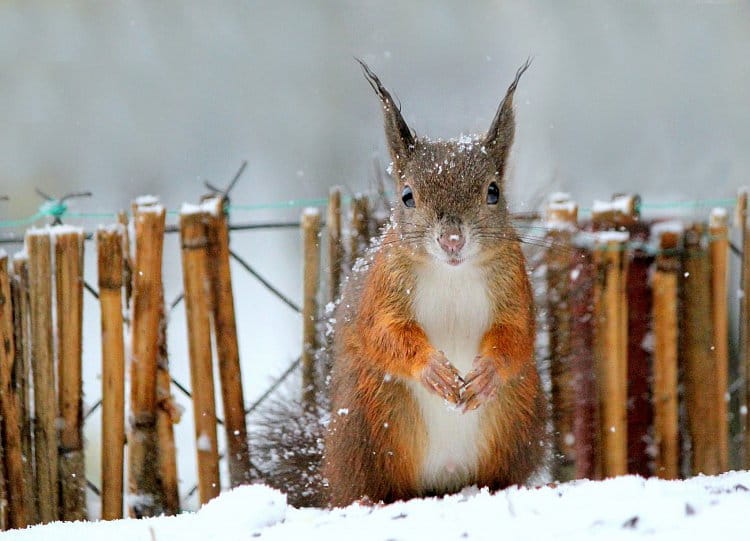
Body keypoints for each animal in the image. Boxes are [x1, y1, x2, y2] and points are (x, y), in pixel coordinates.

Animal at [324, 62, 548, 506]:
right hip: (368, 417)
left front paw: (485, 373)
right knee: (369, 485)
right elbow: (383, 332)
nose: (452, 239)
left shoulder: (514, 286)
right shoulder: (384, 289)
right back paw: (370, 498)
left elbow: (516, 334)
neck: (452, 273)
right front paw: (434, 370)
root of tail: (445, 481)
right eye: (407, 195)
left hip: (518, 411)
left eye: (493, 191)